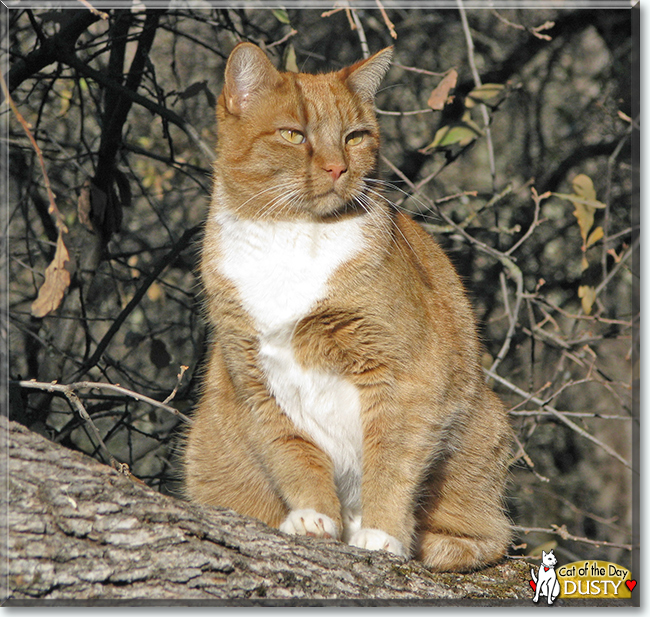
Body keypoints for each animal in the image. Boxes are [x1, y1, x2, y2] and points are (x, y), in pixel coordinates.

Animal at [184, 44, 512, 572]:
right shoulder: (255, 383)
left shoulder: (404, 376)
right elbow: (294, 456)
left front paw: (382, 534)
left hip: (482, 423)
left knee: (489, 535)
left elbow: (391, 460)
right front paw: (314, 519)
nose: (337, 168)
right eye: (293, 135)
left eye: (354, 137)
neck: (292, 238)